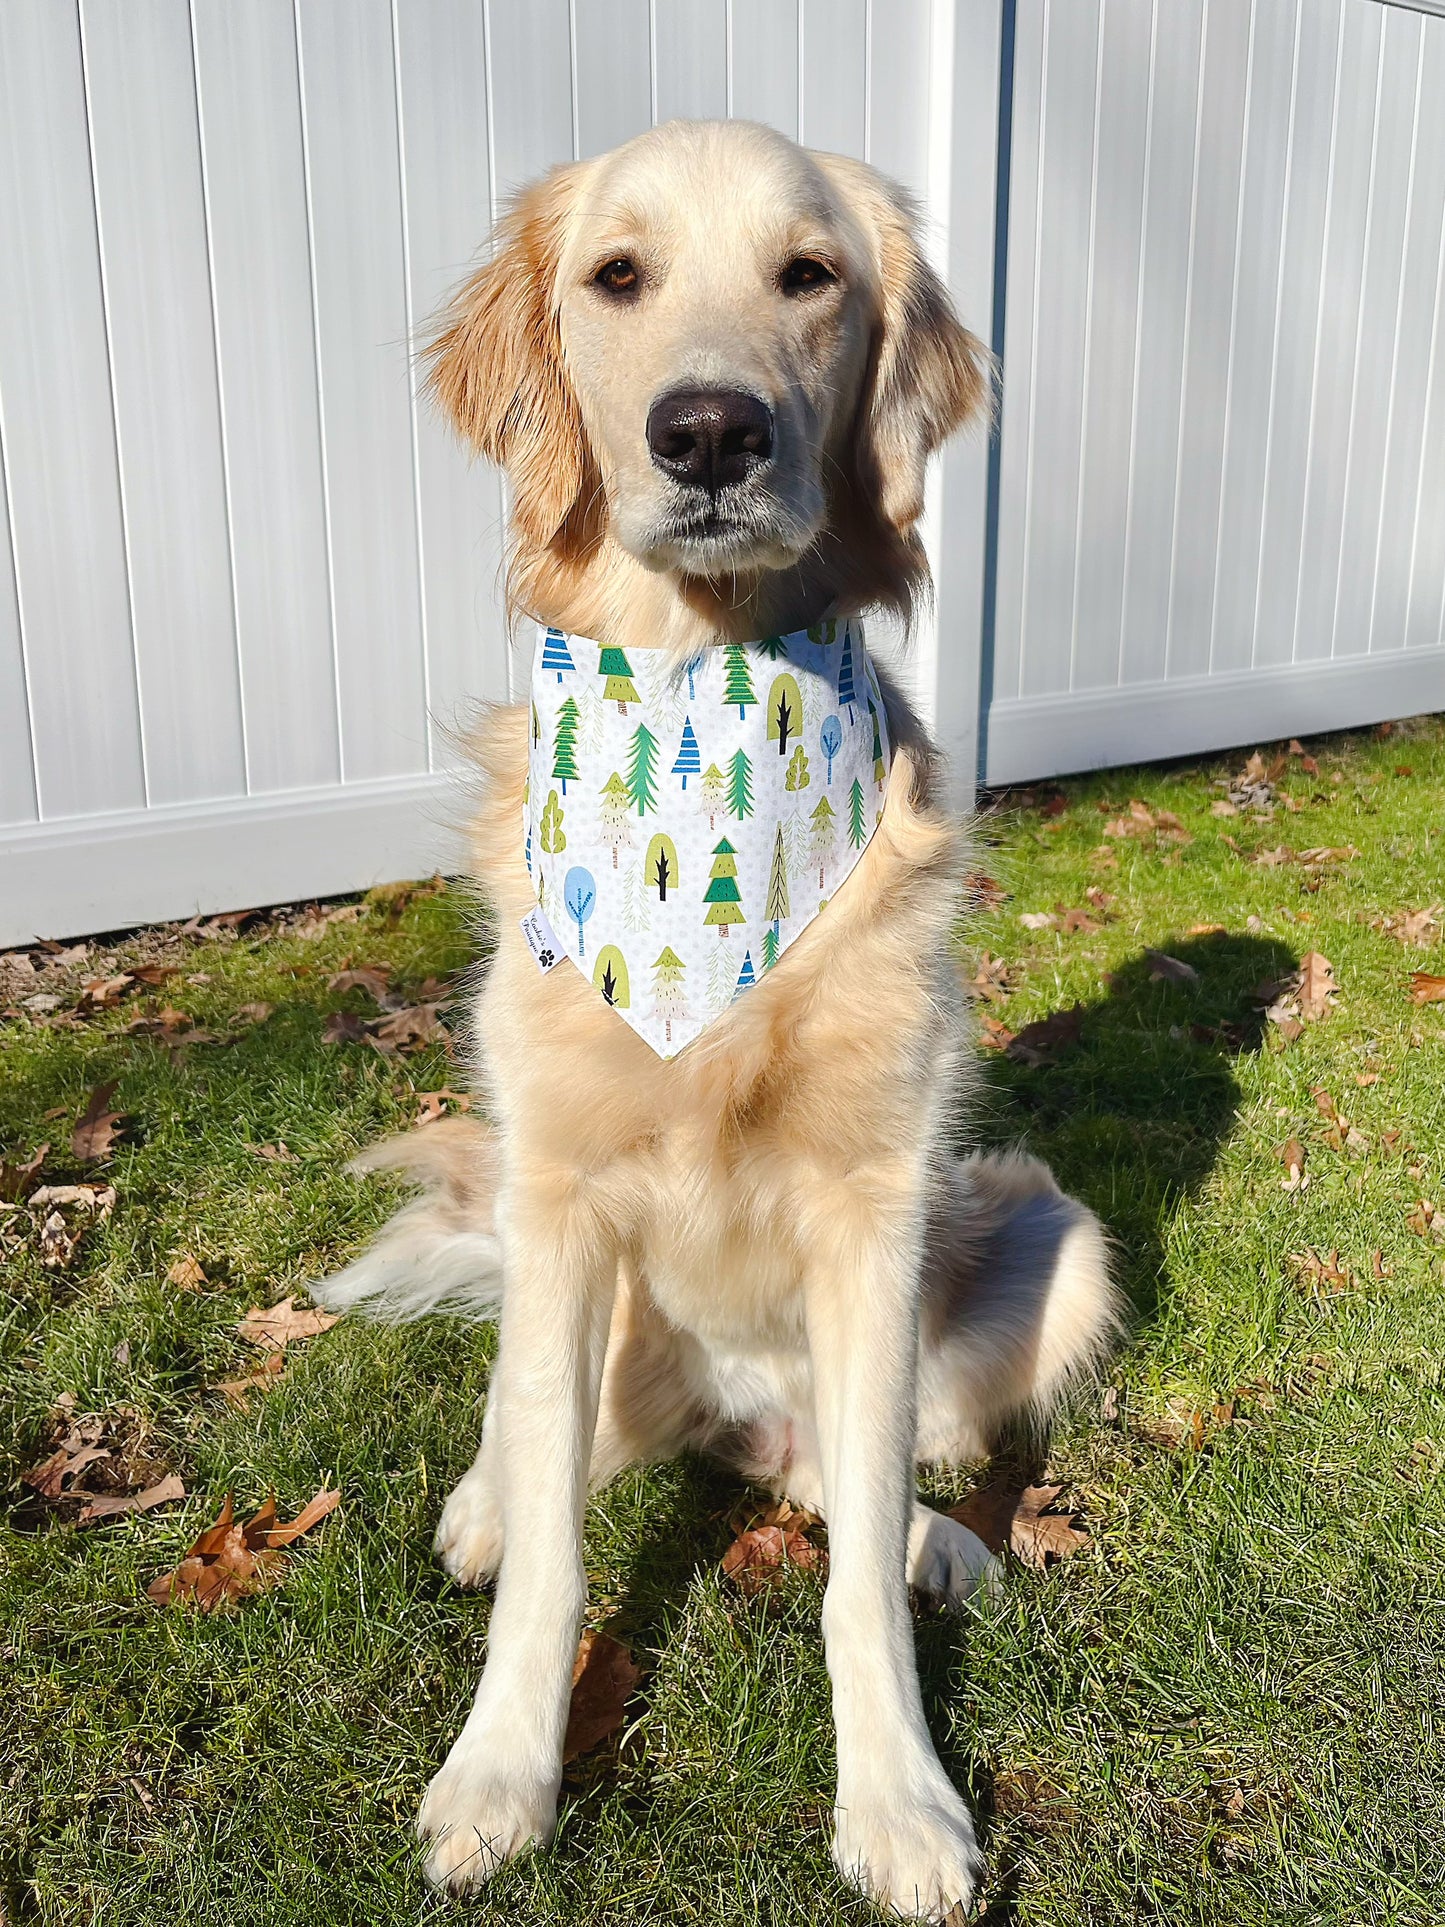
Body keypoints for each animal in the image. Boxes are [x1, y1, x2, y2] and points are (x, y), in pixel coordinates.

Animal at [325, 116, 1117, 1911]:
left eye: (808, 276)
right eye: (617, 275)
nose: (705, 431)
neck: (703, 685)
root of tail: (722, 1414)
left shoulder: (877, 1212)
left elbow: (853, 1584)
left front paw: (901, 1799)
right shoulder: (559, 1193)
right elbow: (555, 1559)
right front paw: (500, 1772)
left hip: (1046, 1238)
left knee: (844, 1477)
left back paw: (932, 1533)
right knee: (544, 1439)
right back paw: (485, 1502)